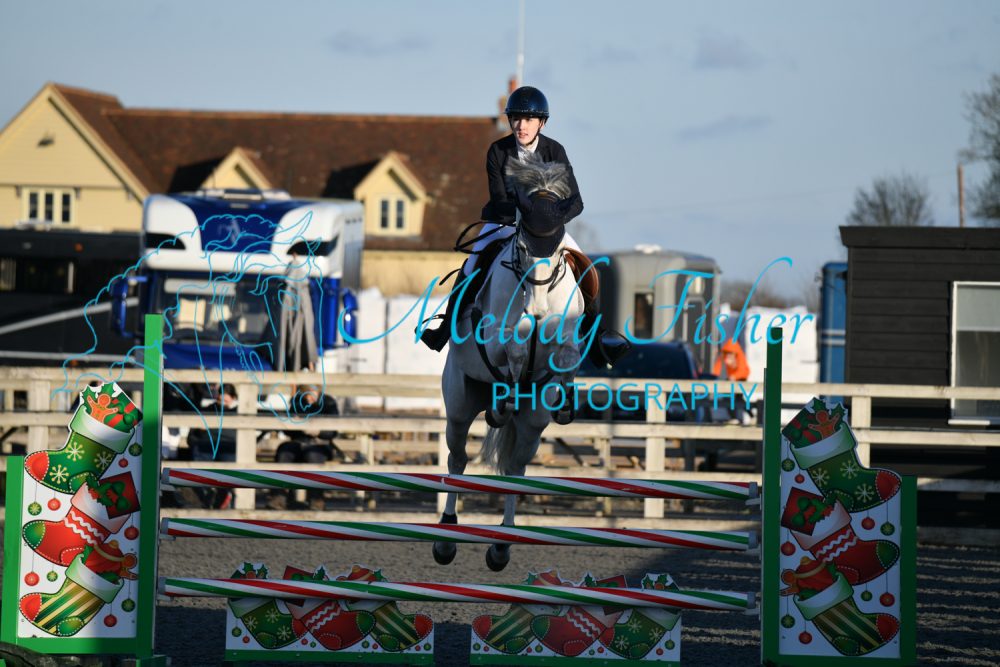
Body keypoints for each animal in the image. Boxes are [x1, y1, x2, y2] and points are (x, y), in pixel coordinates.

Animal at [432, 153, 591, 571]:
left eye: (558, 250)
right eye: (520, 246)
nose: (536, 310)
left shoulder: (568, 340)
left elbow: (566, 356)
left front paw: (565, 401)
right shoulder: (493, 338)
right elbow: (513, 348)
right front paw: (507, 393)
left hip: (533, 423)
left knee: (516, 469)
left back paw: (502, 545)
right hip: (460, 403)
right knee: (457, 459)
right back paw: (446, 537)